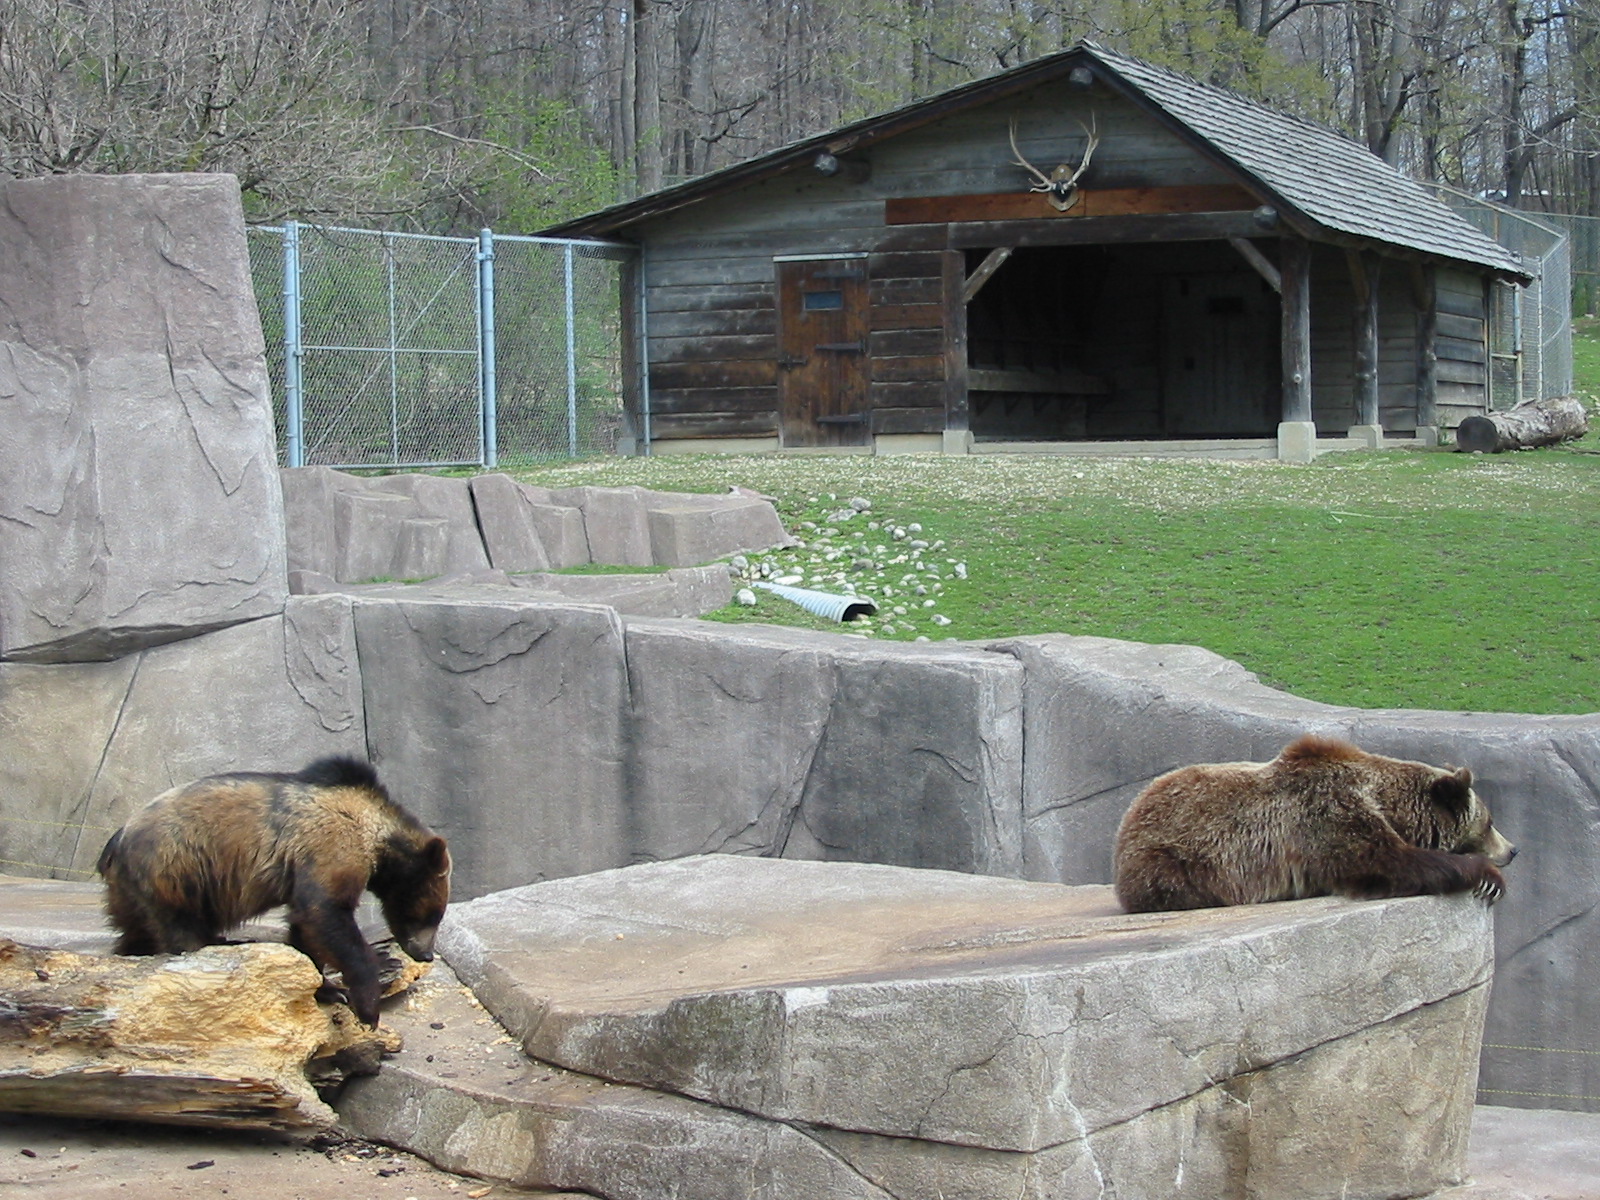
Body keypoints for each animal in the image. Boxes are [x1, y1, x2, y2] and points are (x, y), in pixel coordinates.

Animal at [97, 756, 450, 1026]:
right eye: (433, 914)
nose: (426, 953)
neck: (379, 841)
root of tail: (115, 843)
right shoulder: (333, 845)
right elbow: (325, 911)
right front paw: (366, 1002)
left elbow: (306, 926)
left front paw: (327, 988)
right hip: (177, 869)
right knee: (181, 929)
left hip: (142, 893)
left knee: (137, 931)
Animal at [1113, 734, 1516, 913]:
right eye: (1490, 822)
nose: (1513, 849)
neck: (1386, 801)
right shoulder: (1327, 811)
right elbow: (1384, 863)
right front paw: (1487, 878)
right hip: (1178, 858)